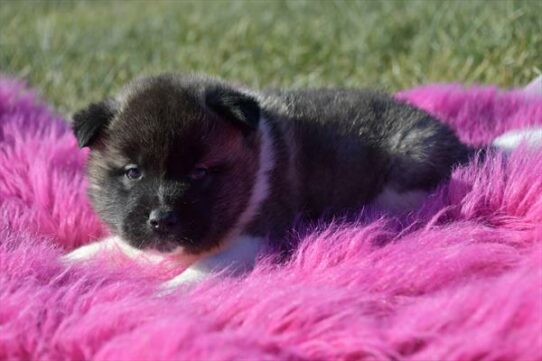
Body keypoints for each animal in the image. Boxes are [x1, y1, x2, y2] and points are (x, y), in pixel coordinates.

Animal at [65, 73, 476, 286]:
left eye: (200, 172)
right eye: (133, 172)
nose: (162, 220)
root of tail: (462, 146)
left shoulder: (253, 239)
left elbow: (199, 272)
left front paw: (160, 296)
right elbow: (107, 248)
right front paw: (61, 261)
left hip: (403, 178)